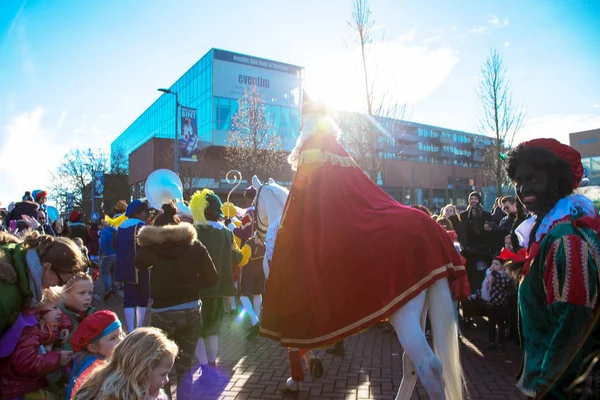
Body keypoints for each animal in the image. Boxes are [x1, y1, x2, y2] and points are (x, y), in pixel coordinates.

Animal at [253, 177, 464, 398]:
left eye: (253, 203)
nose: (253, 238)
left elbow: (292, 343)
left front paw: (298, 376)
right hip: (420, 307)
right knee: (411, 364)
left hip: (403, 314)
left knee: (429, 367)